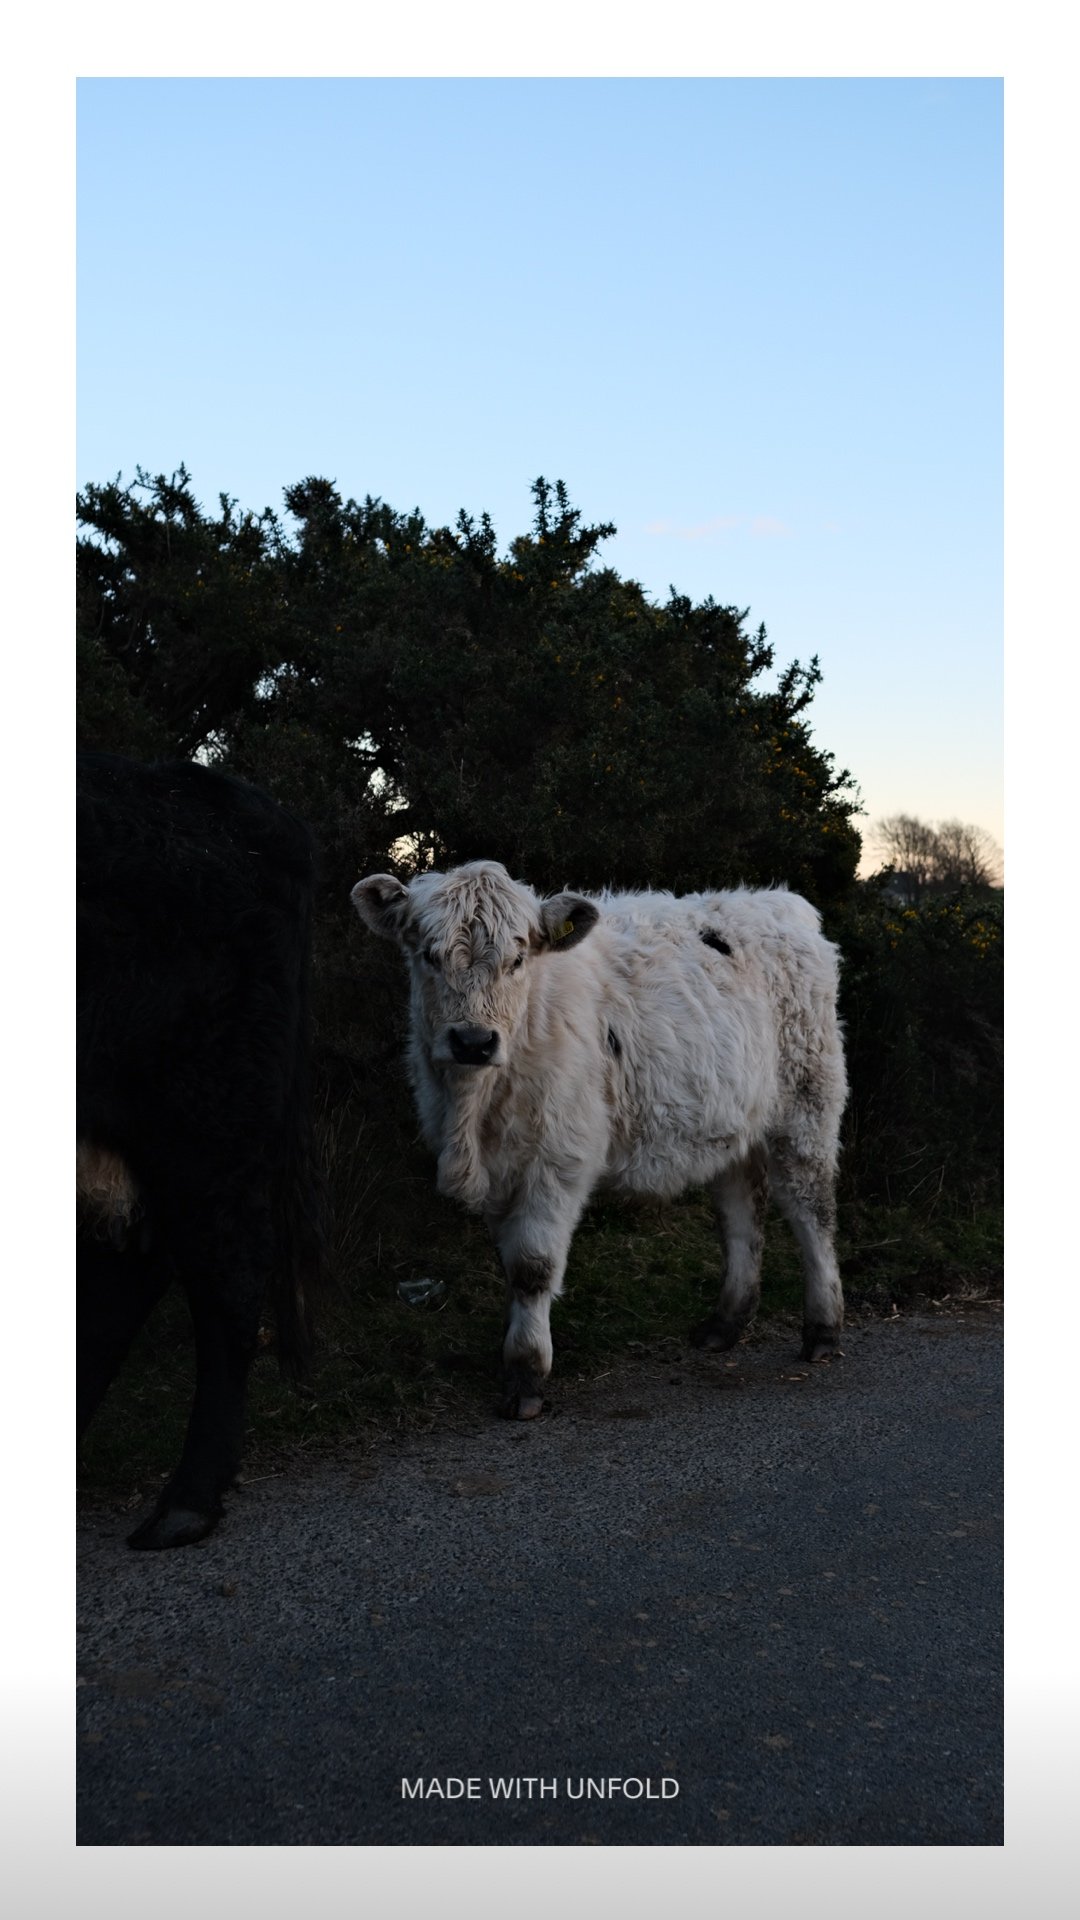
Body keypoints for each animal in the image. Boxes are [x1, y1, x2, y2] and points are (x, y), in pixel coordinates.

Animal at [352, 860, 846, 1418]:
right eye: (429, 956)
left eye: (517, 958)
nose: (473, 1042)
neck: (472, 1117)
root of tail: (776, 900)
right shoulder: (502, 1171)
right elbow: (509, 1266)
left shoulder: (557, 1158)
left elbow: (533, 1267)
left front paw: (526, 1375)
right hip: (733, 1120)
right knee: (741, 1213)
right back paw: (724, 1324)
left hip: (806, 1104)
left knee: (811, 1210)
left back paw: (822, 1328)